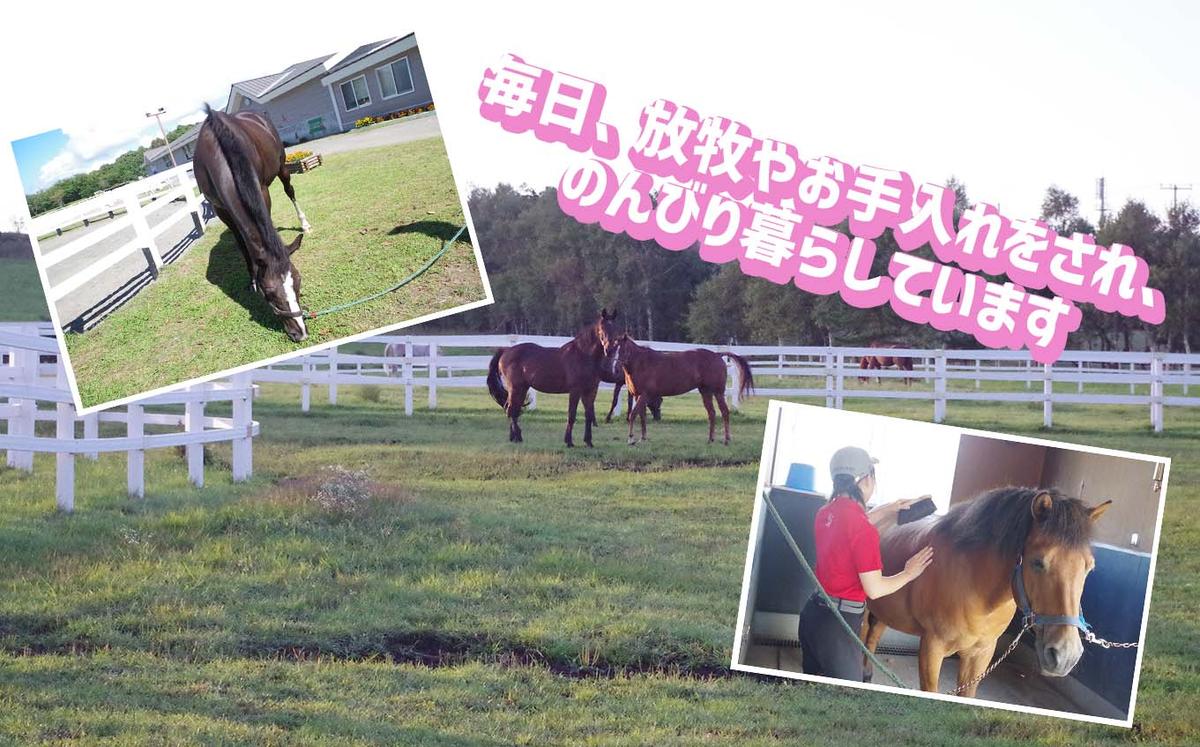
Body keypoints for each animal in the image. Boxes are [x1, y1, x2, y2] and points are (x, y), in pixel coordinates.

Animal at [193, 104, 312, 342]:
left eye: (298, 281)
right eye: (270, 293)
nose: (301, 333)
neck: (219, 153)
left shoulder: (262, 191)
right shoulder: (221, 209)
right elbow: (242, 242)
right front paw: (252, 279)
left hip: (282, 166)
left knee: (289, 190)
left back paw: (304, 223)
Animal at [486, 309, 619, 447]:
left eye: (616, 328)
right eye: (602, 328)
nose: (609, 350)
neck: (583, 355)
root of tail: (505, 351)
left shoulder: (591, 390)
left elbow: (589, 415)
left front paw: (588, 442)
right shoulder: (575, 390)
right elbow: (572, 415)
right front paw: (569, 441)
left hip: (522, 389)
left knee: (511, 409)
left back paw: (514, 437)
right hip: (516, 388)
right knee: (511, 410)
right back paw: (518, 436)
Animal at [607, 334, 754, 445]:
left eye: (623, 350)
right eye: (612, 349)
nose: (614, 370)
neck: (642, 363)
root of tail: (717, 355)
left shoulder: (644, 394)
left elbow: (632, 415)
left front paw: (631, 439)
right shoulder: (638, 395)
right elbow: (641, 416)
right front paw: (642, 438)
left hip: (718, 392)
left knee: (724, 412)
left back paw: (726, 440)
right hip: (705, 392)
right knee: (712, 413)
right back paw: (710, 439)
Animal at [861, 486, 1112, 696]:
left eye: (1089, 567)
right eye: (1038, 562)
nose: (1066, 655)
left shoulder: (980, 654)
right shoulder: (932, 647)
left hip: (886, 612)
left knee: (872, 638)